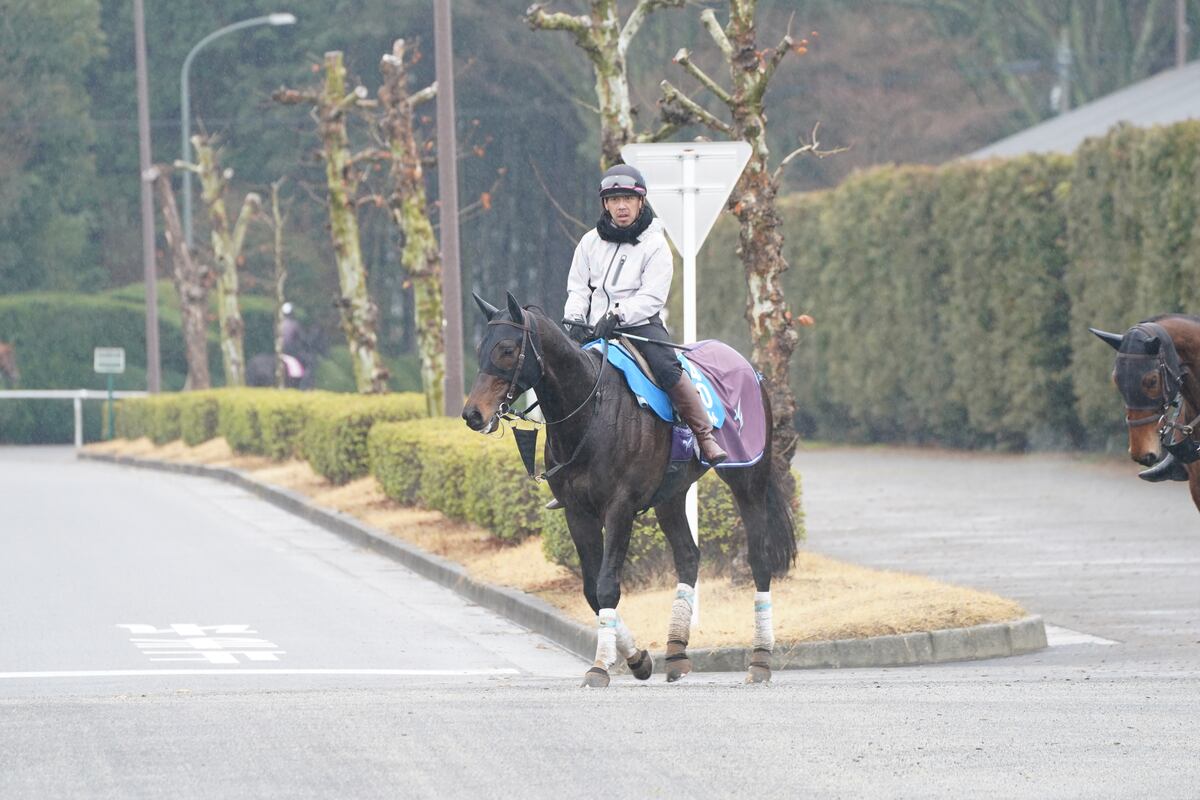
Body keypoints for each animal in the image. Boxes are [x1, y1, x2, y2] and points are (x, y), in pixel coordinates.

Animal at [460, 293, 796, 690]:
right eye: (480, 348)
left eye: (508, 349)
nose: (473, 415)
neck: (591, 411)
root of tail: (751, 370)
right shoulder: (578, 512)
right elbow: (591, 590)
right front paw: (637, 659)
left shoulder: (619, 508)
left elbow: (607, 586)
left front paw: (600, 666)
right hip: (671, 496)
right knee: (688, 557)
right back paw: (676, 653)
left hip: (748, 478)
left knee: (760, 558)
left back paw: (760, 658)